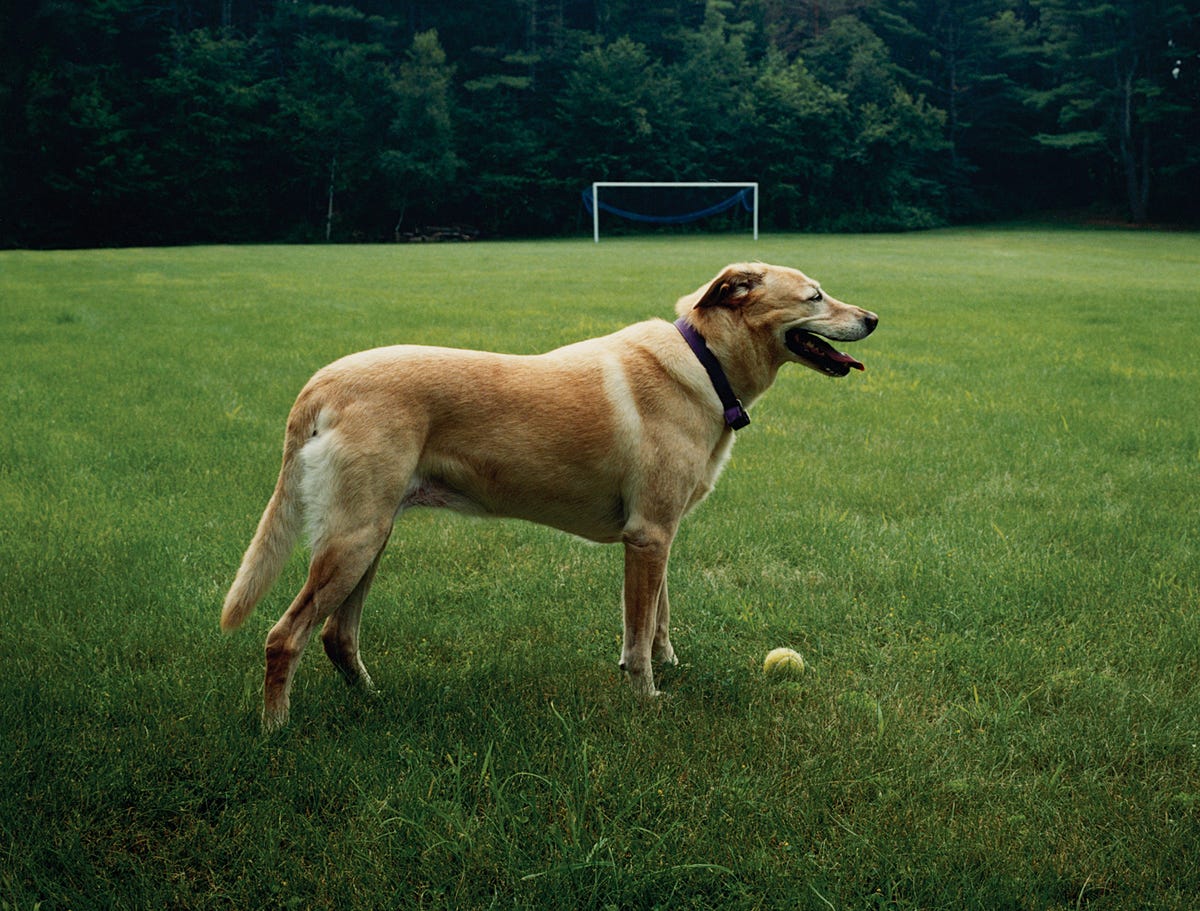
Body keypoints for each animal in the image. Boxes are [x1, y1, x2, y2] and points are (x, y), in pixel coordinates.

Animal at [223, 260, 873, 729]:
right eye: (815, 296)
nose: (872, 318)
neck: (705, 363)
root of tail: (321, 383)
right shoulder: (648, 536)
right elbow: (639, 634)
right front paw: (646, 697)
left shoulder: (662, 535)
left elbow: (659, 620)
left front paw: (670, 667)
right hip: (354, 540)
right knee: (284, 638)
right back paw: (277, 731)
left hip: (370, 537)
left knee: (336, 636)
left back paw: (372, 701)